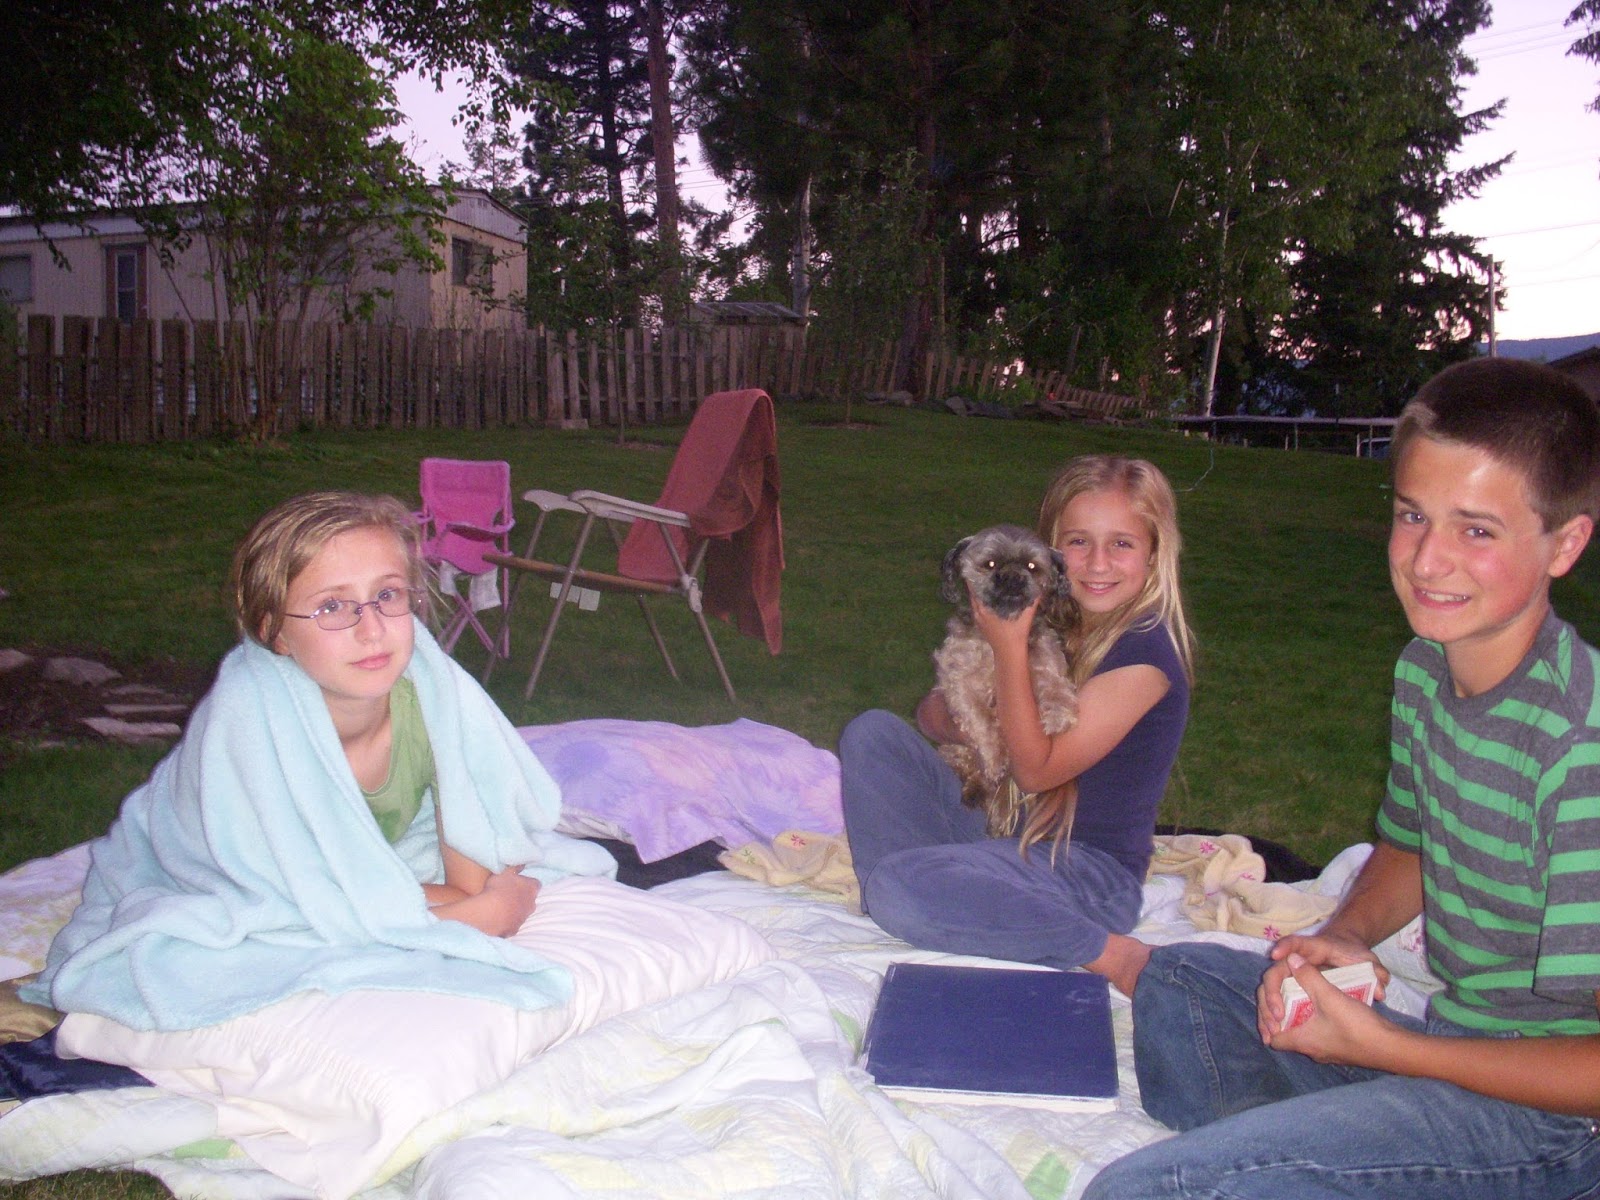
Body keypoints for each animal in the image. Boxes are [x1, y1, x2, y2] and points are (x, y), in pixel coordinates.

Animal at [933, 525, 1078, 832]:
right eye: (989, 564)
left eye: (1032, 566)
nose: (1012, 577)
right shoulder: (958, 681)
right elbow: (983, 719)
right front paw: (996, 757)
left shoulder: (1048, 662)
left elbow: (1058, 691)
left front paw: (1055, 718)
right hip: (953, 749)